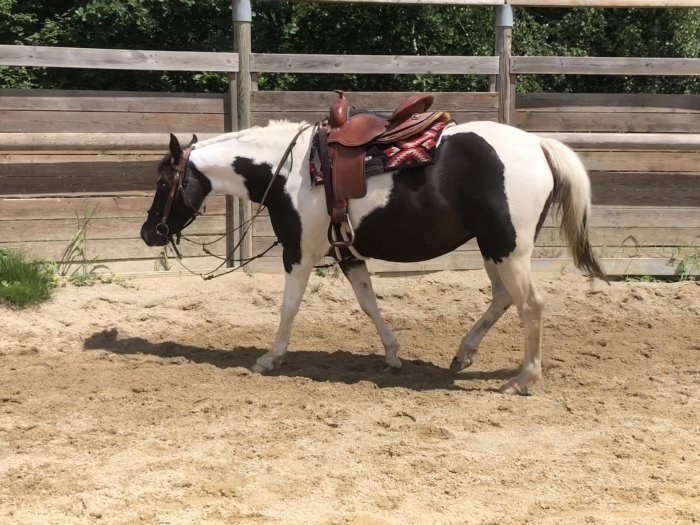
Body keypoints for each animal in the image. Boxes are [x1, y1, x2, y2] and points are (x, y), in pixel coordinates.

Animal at [140, 118, 605, 395]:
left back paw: (522, 379)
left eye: (164, 182)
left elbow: (289, 306)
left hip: (508, 247)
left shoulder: (299, 252)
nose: (148, 232)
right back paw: (463, 354)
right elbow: (368, 303)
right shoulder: (347, 254)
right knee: (504, 298)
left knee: (530, 304)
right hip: (495, 247)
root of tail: (538, 145)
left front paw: (270, 358)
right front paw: (393, 354)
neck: (288, 172)